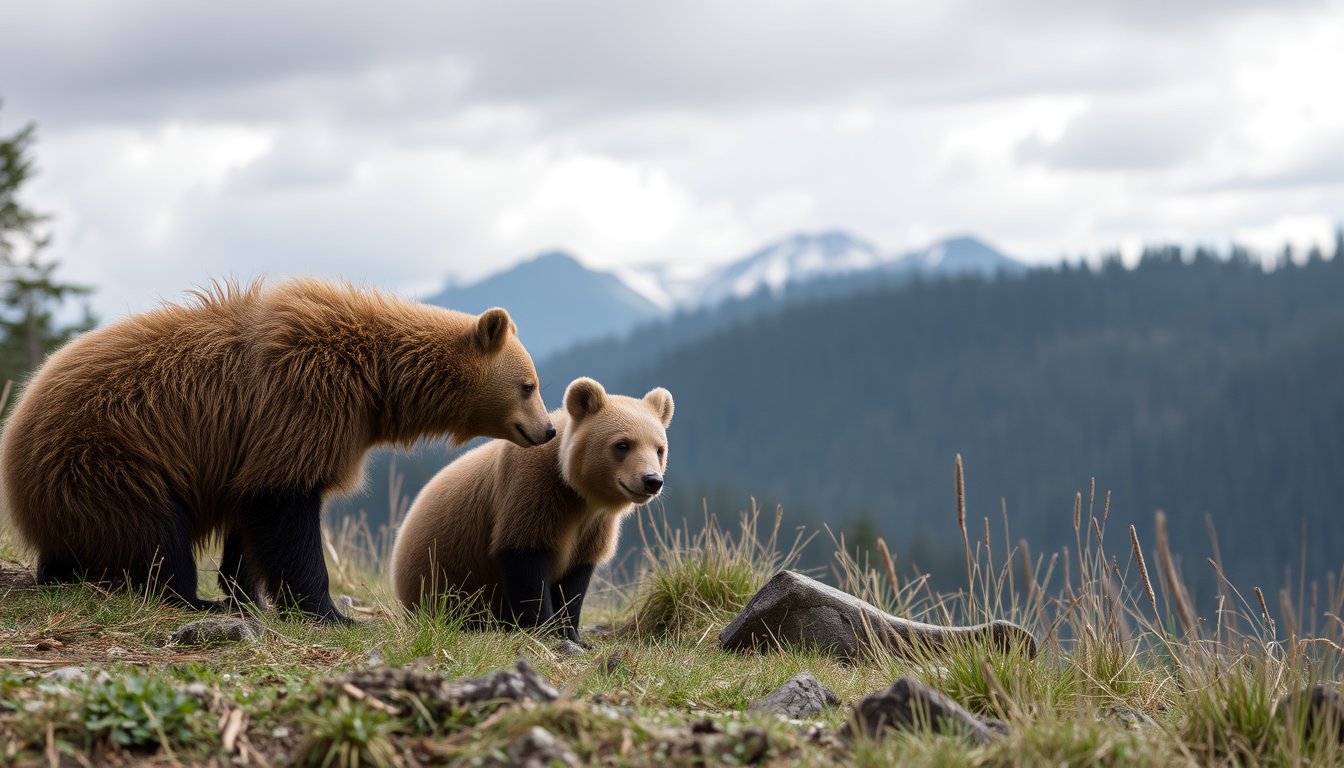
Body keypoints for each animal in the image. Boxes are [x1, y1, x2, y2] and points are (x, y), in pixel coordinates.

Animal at [0, 277, 555, 623]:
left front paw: (247, 593)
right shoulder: (303, 399)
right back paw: (189, 599)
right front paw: (328, 611)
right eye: (529, 385)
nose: (548, 429)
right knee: (153, 534)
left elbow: (250, 517)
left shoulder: (258, 442)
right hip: (106, 460)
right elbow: (284, 506)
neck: (376, 383)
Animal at [391, 377, 672, 642]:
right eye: (623, 444)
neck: (577, 494)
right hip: (438, 577)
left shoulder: (595, 526)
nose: (651, 480)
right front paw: (543, 629)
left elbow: (575, 583)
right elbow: (526, 562)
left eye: (659, 449)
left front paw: (572, 634)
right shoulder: (531, 492)